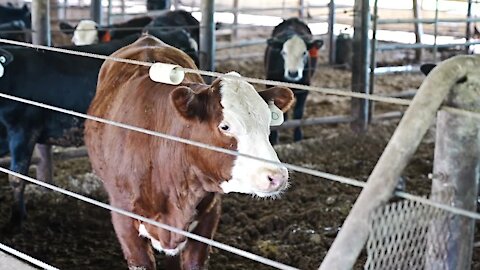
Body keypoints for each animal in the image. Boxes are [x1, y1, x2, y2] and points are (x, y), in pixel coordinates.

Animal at [84, 34, 294, 270]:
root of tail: (146, 38)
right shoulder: (124, 220)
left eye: (268, 123)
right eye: (225, 126)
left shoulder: (208, 216)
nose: (277, 176)